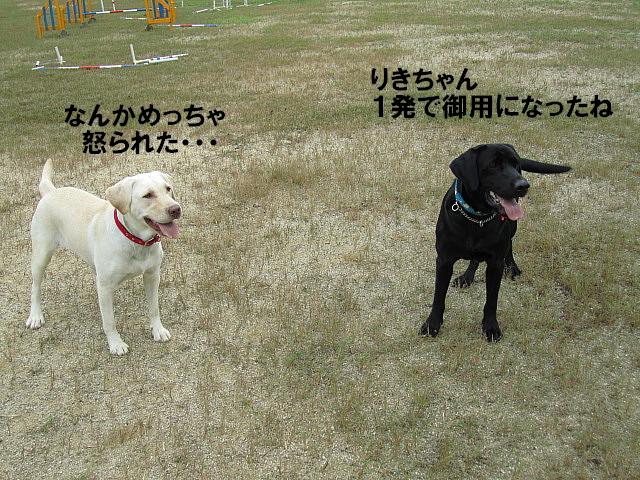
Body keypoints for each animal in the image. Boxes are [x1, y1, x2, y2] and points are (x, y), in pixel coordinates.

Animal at [26, 160, 181, 355]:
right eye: (148, 195)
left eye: (168, 189)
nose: (176, 209)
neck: (135, 240)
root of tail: (51, 191)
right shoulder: (106, 287)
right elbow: (109, 321)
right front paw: (115, 343)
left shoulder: (152, 275)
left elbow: (154, 308)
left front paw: (158, 330)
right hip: (41, 255)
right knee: (35, 288)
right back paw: (35, 316)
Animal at [420, 144, 570, 341]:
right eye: (493, 165)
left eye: (515, 164)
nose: (523, 185)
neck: (477, 218)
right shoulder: (444, 260)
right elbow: (439, 297)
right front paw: (432, 324)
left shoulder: (495, 263)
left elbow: (491, 300)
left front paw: (490, 327)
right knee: (475, 259)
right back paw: (467, 277)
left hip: (511, 226)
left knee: (510, 245)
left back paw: (512, 268)